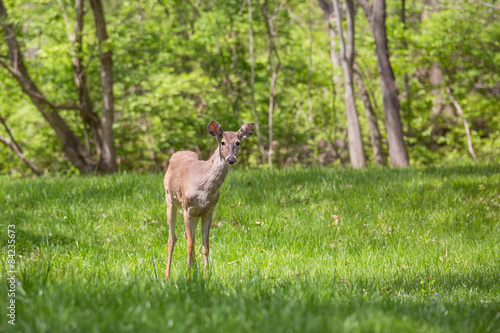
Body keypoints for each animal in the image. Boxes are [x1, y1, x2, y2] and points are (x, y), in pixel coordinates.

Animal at [164, 119, 256, 278]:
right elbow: (189, 246)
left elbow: (205, 246)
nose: (231, 159)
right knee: (172, 238)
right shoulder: (187, 208)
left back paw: (194, 271)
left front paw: (206, 277)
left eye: (238, 142)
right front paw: (187, 278)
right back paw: (167, 276)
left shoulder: (208, 211)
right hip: (170, 199)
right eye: (222, 142)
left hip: (195, 214)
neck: (204, 190)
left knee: (188, 235)